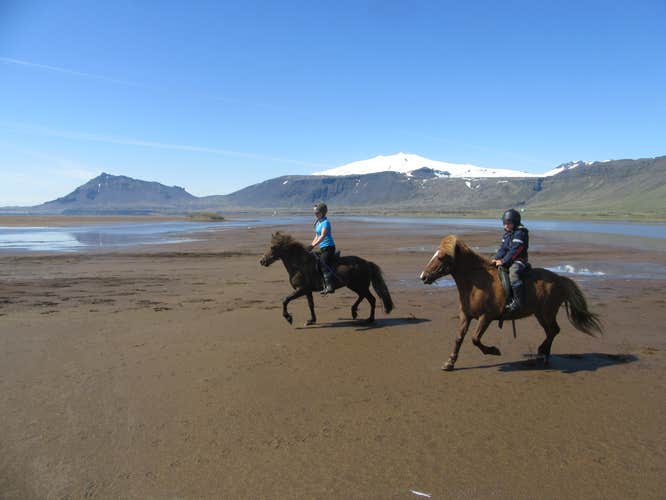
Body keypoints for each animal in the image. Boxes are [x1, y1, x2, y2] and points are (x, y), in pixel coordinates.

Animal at [260, 232, 394, 325]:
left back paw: (369, 319)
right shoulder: (307, 291)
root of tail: (367, 263)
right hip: (354, 286)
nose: (262, 261)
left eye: (272, 247)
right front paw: (311, 320)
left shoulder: (301, 290)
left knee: (371, 299)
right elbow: (311, 305)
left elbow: (285, 300)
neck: (300, 264)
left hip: (359, 285)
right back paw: (354, 311)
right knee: (363, 297)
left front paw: (288, 318)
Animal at [419, 235, 602, 370]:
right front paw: (450, 363)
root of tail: (560, 279)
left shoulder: (486, 317)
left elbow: (475, 339)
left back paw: (542, 353)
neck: (477, 282)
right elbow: (459, 338)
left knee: (554, 330)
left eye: (441, 257)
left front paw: (494, 351)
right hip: (540, 314)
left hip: (547, 313)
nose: (423, 276)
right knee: (551, 331)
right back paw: (543, 355)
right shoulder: (466, 315)